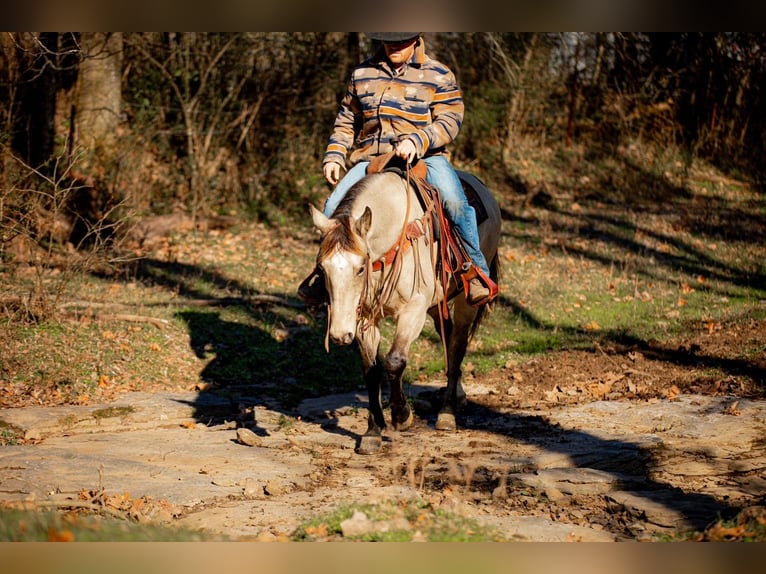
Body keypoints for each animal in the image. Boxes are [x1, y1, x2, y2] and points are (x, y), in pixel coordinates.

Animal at [309, 168, 501, 454]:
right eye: (322, 268)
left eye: (361, 268)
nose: (340, 335)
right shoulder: (365, 317)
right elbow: (371, 369)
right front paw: (373, 431)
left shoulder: (413, 310)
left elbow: (394, 361)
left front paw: (401, 416)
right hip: (436, 305)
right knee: (448, 337)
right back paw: (457, 395)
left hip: (465, 302)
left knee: (457, 346)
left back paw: (447, 412)